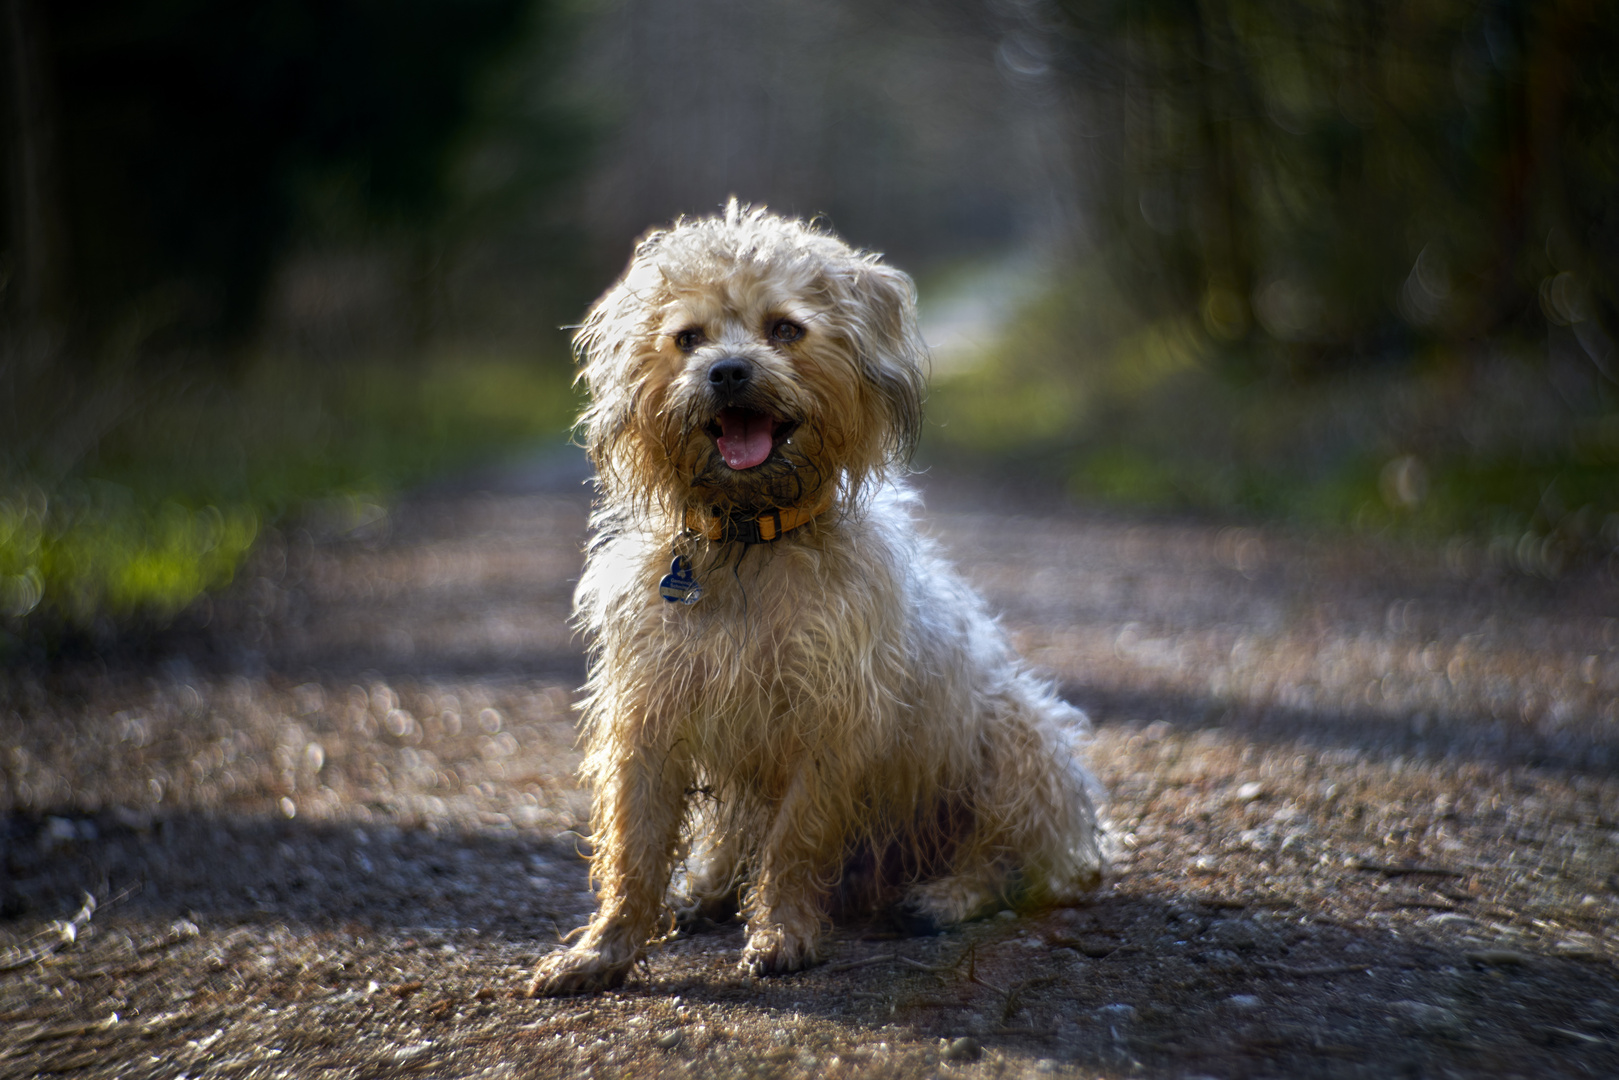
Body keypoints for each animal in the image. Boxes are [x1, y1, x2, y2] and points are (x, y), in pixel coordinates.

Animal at [527, 200, 1100, 997]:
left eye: (785, 330)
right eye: (688, 338)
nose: (727, 370)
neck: (747, 540)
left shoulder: (827, 725)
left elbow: (794, 843)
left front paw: (783, 933)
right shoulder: (649, 716)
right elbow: (632, 851)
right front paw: (602, 951)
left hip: (1017, 735)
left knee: (1006, 860)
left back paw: (943, 895)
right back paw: (708, 889)